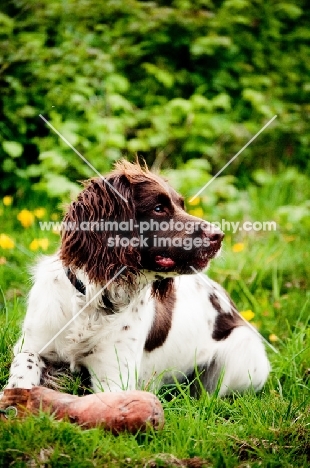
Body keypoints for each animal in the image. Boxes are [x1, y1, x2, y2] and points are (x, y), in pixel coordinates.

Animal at [4, 161, 268, 394]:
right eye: (159, 208)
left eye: (181, 205)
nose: (219, 235)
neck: (95, 299)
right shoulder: (31, 343)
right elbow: (24, 363)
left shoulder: (114, 380)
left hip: (242, 360)